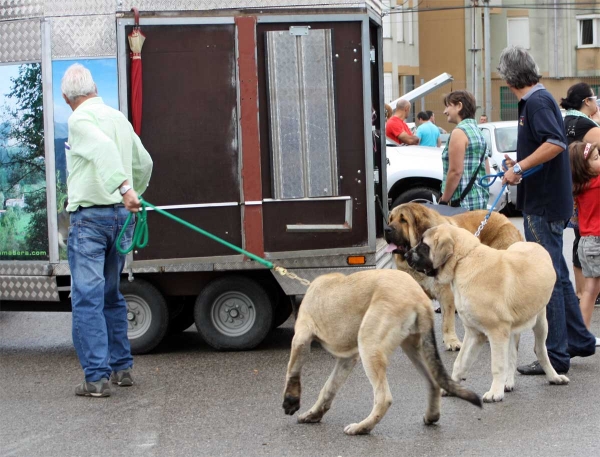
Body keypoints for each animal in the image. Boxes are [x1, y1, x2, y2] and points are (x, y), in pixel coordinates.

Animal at [282, 268, 482, 436]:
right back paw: (431, 416)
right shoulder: (347, 359)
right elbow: (329, 387)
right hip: (413, 348)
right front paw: (314, 413)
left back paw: (362, 427)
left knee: (384, 398)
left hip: (369, 346)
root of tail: (418, 298)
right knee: (433, 383)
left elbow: (292, 371)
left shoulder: (301, 337)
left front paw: (291, 399)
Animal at [386, 202, 524, 350]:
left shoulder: (446, 294)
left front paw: (451, 340)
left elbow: (447, 321)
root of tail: (505, 218)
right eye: (390, 219)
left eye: (403, 220)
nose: (386, 229)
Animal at [406, 226, 568, 400]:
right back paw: (508, 382)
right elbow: (460, 361)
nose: (406, 255)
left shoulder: (496, 331)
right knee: (512, 354)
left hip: (540, 321)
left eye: (424, 245)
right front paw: (453, 386)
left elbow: (497, 365)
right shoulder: (474, 333)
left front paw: (495, 392)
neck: (463, 261)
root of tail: (534, 244)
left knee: (540, 350)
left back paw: (554, 377)